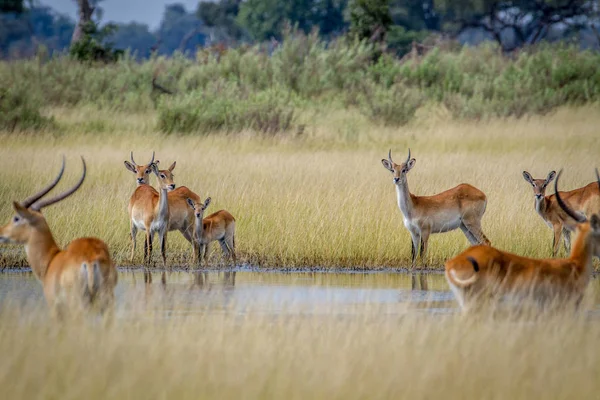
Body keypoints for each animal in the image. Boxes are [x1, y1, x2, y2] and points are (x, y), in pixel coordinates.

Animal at [0, 158, 118, 318]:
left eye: (16, 218)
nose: (1, 232)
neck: (51, 259)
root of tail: (90, 260)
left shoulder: (55, 307)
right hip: (106, 301)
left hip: (78, 304)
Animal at [442, 169, 600, 312]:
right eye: (533, 183)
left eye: (545, 184)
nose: (538, 195)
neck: (548, 205)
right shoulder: (566, 229)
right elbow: (567, 247)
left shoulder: (558, 226)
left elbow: (555, 247)